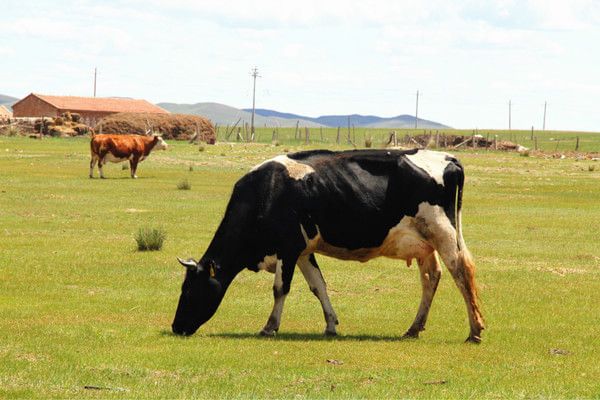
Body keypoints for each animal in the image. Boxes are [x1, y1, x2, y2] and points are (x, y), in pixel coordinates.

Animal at [171, 148, 486, 342]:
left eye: (189, 290)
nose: (176, 327)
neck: (267, 192)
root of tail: (447, 157)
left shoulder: (288, 247)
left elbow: (280, 289)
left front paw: (270, 327)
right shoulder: (303, 251)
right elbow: (318, 286)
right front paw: (331, 325)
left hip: (444, 233)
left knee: (461, 271)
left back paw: (475, 330)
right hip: (424, 242)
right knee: (431, 277)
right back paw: (413, 328)